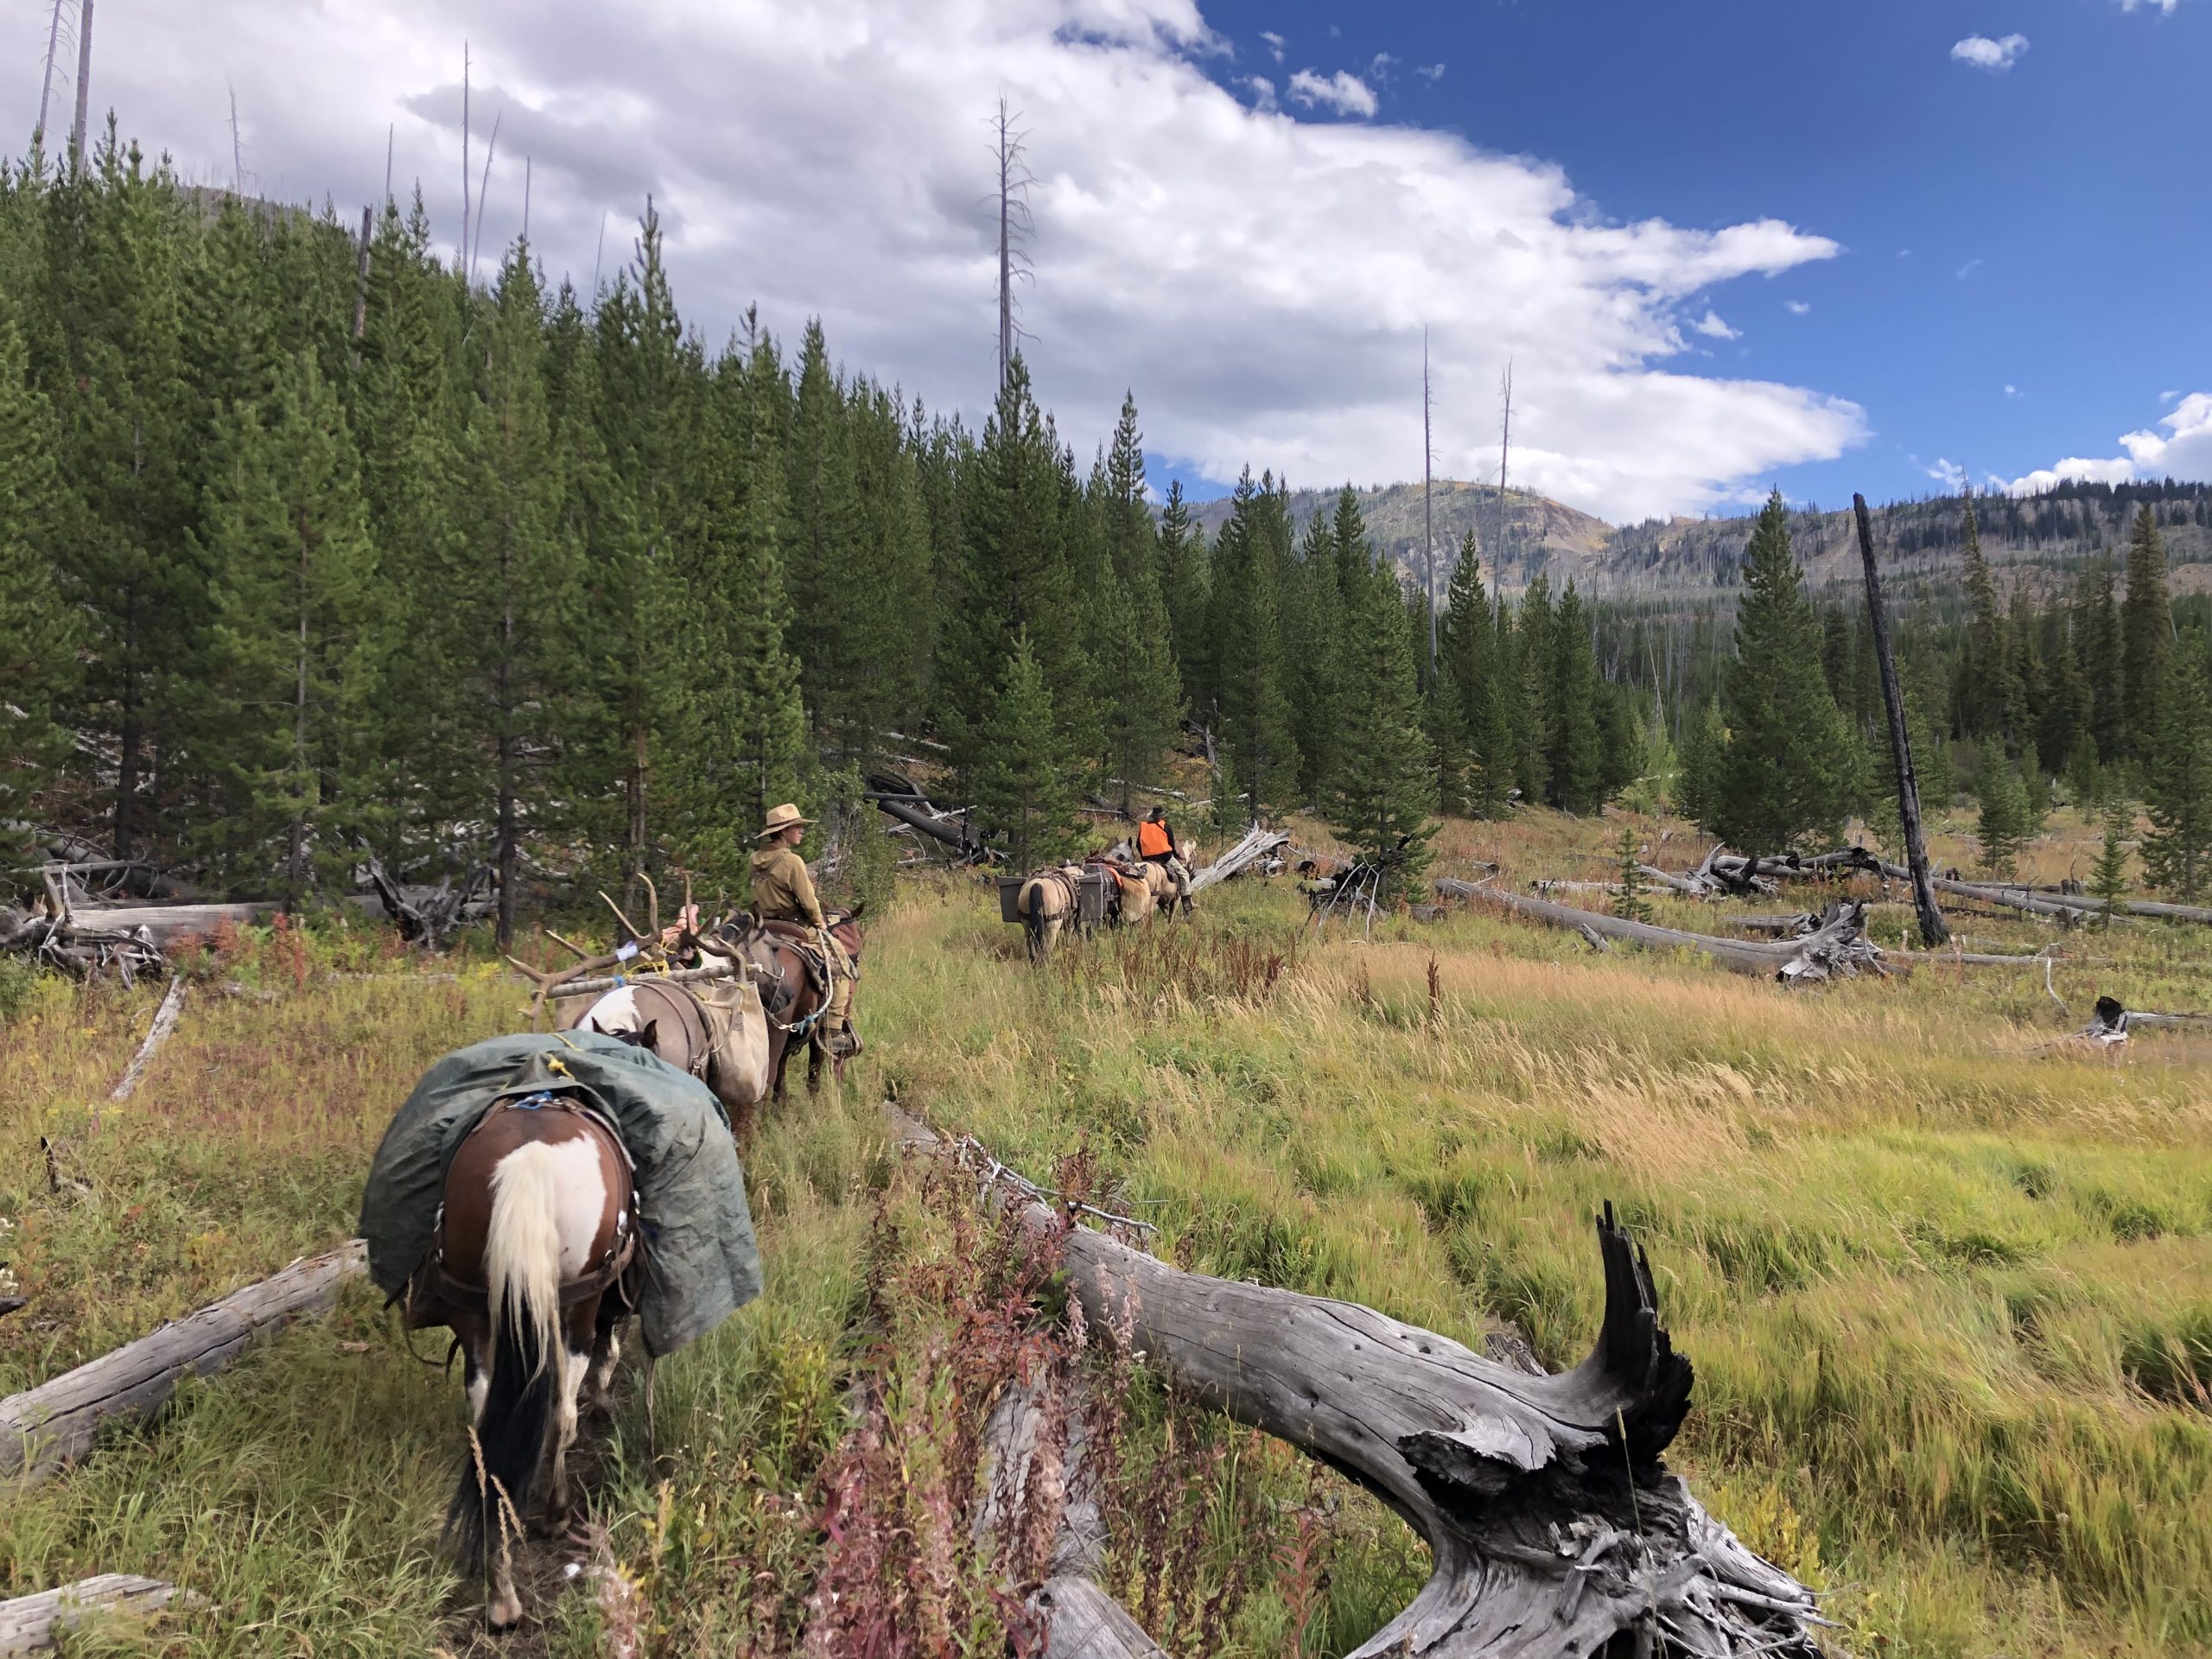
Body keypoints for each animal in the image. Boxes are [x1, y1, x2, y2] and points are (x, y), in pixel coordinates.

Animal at [422, 1096, 637, 1628]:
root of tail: (530, 1159)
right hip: (578, 1302)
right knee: (561, 1414)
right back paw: (556, 1513)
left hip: (477, 1316)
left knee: (487, 1446)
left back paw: (501, 1595)